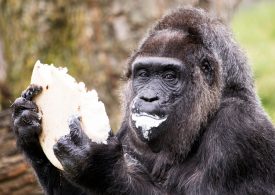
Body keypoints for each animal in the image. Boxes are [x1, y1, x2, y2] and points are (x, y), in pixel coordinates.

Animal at [10, 6, 275, 194]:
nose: (148, 97)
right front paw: (28, 130)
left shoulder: (239, 129)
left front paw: (98, 164)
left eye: (169, 76)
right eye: (144, 74)